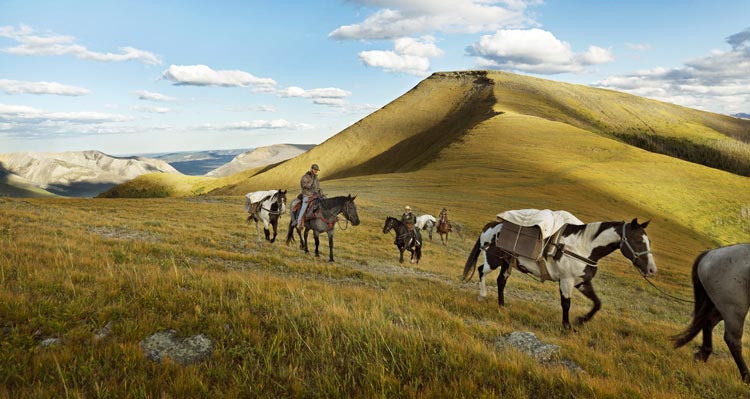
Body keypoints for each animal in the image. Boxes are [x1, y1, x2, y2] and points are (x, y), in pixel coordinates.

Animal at [464, 211, 656, 330]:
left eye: (649, 241)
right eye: (638, 241)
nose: (652, 269)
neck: (583, 247)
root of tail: (491, 226)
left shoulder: (582, 282)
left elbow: (597, 303)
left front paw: (580, 321)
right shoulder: (566, 281)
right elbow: (566, 304)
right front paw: (567, 326)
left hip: (506, 263)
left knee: (501, 281)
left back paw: (502, 305)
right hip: (493, 260)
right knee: (481, 270)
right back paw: (482, 296)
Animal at [672, 244, 750, 384]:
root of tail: (710, 254)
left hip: (721, 305)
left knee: (708, 322)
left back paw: (703, 353)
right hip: (734, 307)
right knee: (733, 340)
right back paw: (747, 377)